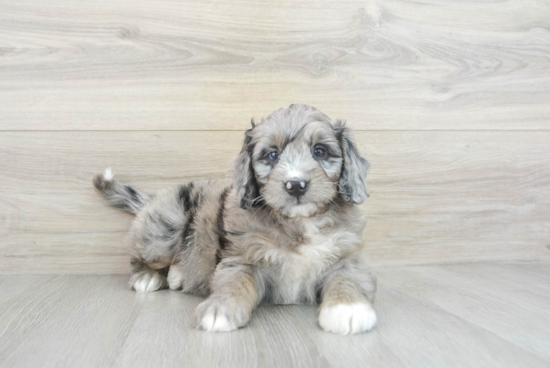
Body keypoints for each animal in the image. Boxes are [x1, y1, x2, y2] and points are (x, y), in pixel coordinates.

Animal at [96, 104, 380, 336]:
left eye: (320, 151)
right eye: (272, 155)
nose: (296, 185)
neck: (298, 221)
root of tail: (152, 199)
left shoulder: (347, 256)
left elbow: (348, 279)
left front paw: (348, 309)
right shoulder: (243, 257)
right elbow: (234, 281)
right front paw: (220, 308)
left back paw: (178, 276)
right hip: (165, 228)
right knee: (138, 255)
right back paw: (147, 277)